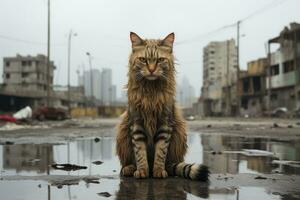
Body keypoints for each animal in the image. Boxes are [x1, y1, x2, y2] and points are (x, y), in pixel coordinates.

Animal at [116, 31, 210, 181]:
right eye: (143, 59)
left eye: (160, 60)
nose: (151, 70)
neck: (151, 90)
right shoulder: (136, 124)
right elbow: (140, 153)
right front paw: (142, 171)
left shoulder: (165, 124)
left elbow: (160, 152)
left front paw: (158, 171)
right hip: (122, 133)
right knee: (129, 161)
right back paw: (129, 168)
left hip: (179, 133)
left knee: (169, 163)